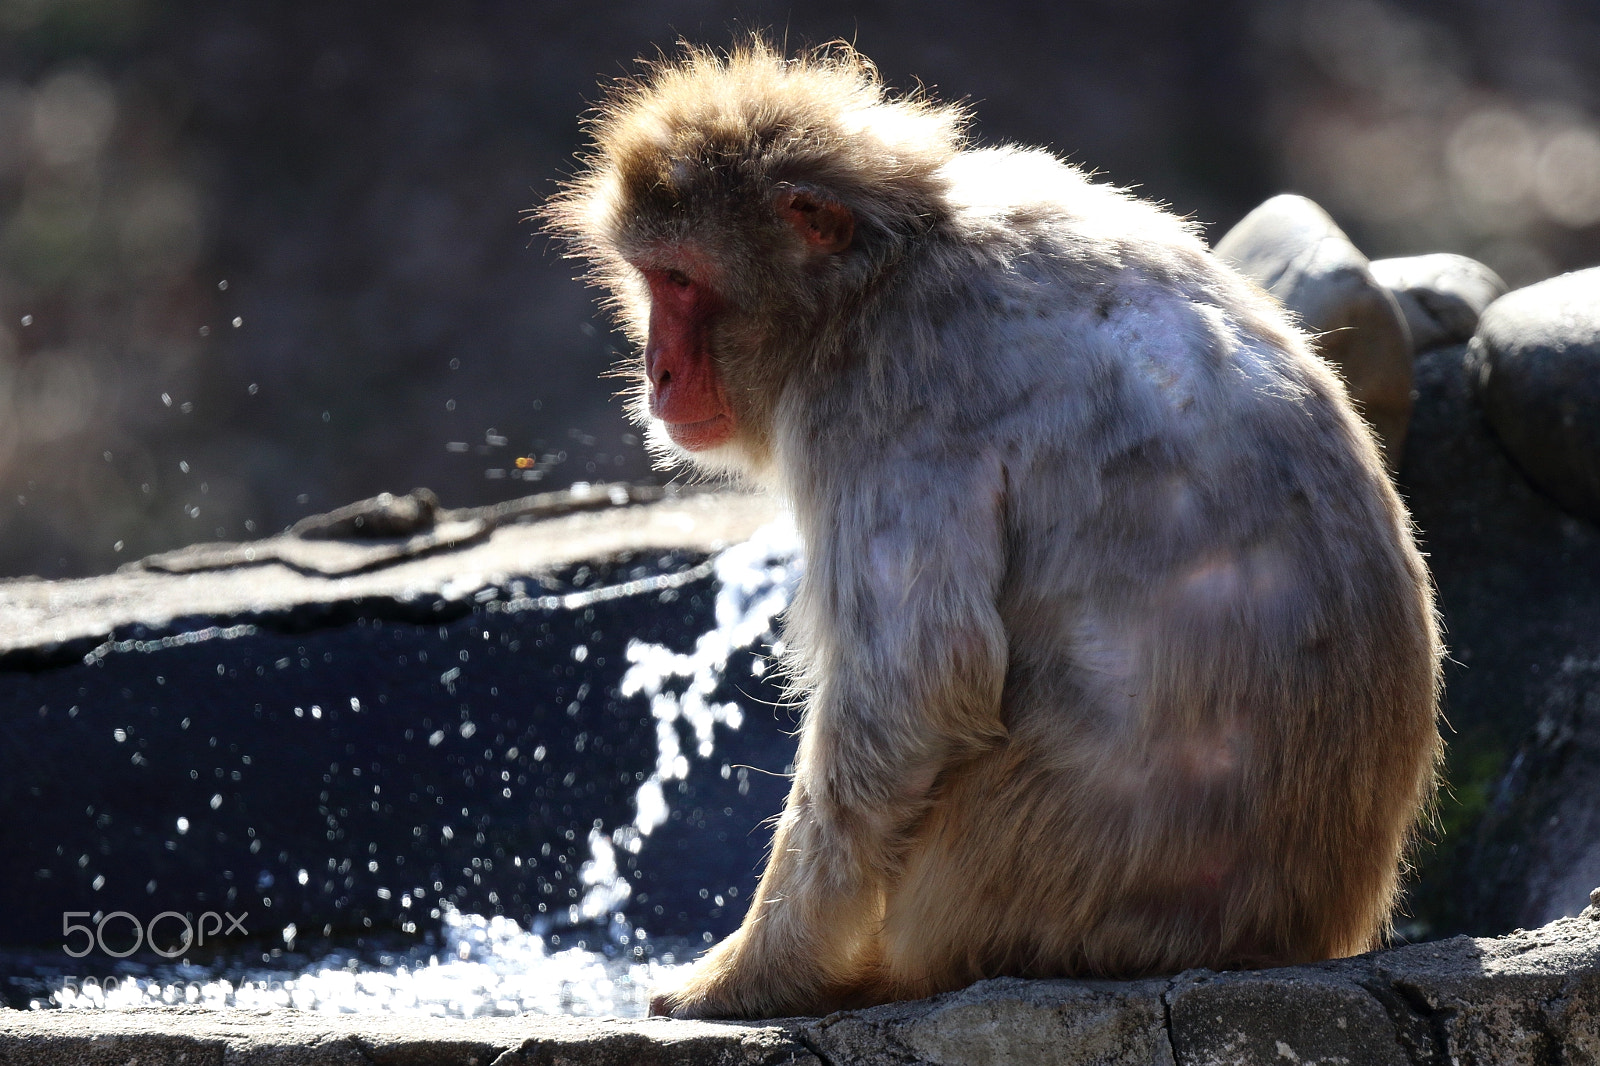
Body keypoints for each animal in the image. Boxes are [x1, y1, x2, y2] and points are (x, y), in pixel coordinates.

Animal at [543, 39, 1441, 1020]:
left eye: (680, 280)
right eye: (649, 281)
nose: (658, 371)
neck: (885, 271)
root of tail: (1296, 931)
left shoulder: (877, 396)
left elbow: (916, 688)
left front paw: (750, 974)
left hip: (1020, 886)